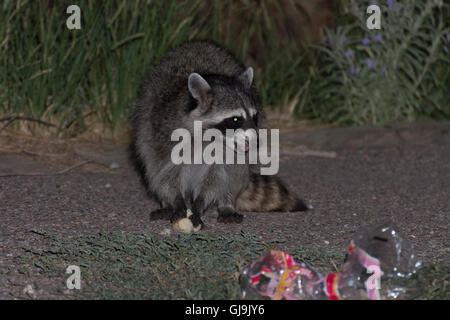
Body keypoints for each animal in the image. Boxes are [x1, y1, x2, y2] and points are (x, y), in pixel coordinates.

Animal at [130, 40, 306, 231]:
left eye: (254, 117)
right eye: (236, 119)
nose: (257, 142)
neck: (208, 137)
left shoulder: (223, 156)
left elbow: (217, 179)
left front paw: (199, 205)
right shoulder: (164, 137)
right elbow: (166, 175)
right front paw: (176, 202)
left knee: (236, 173)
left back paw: (227, 203)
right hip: (146, 126)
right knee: (151, 165)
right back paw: (166, 204)